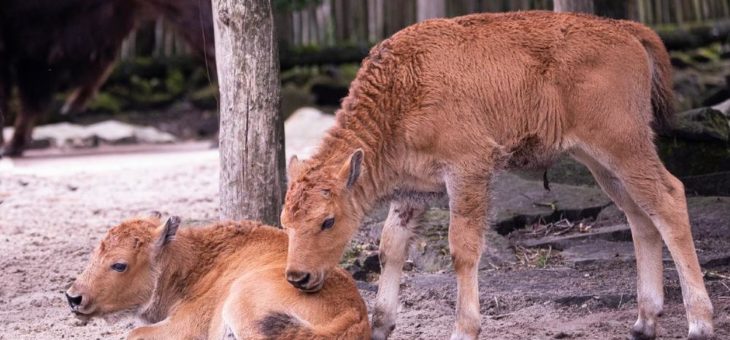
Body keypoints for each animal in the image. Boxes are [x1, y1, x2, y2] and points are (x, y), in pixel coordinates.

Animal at [64, 214, 366, 338]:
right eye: (95, 252)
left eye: (119, 265)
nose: (73, 298)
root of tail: (353, 314)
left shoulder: (184, 328)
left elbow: (134, 334)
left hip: (242, 302)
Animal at [282, 9, 712, 340]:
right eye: (285, 222)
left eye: (328, 221)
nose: (297, 277)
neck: (400, 92)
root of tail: (626, 29)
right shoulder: (412, 191)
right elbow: (391, 246)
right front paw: (380, 324)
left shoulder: (468, 171)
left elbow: (462, 249)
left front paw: (463, 329)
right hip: (599, 161)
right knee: (640, 216)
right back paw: (643, 322)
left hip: (623, 145)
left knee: (669, 199)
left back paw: (699, 324)